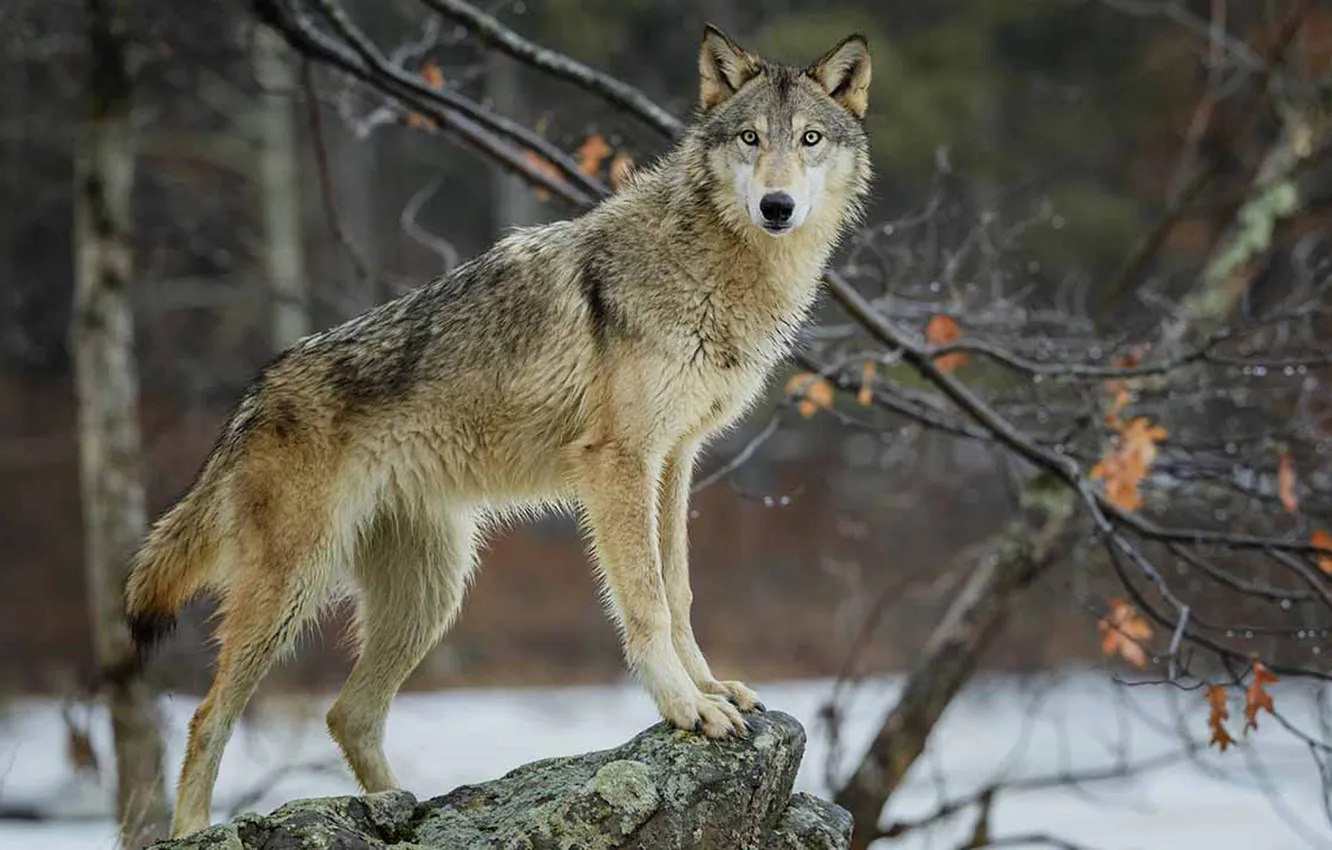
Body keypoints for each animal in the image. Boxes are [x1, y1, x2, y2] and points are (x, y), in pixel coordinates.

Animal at [125, 24, 872, 837]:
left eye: (808, 140)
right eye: (749, 138)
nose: (777, 205)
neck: (713, 264)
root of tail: (253, 394)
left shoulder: (675, 460)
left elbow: (679, 592)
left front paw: (710, 689)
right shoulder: (619, 462)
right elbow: (645, 601)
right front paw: (685, 708)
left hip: (433, 594)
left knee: (347, 714)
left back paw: (400, 809)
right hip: (293, 592)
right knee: (207, 717)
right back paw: (195, 831)